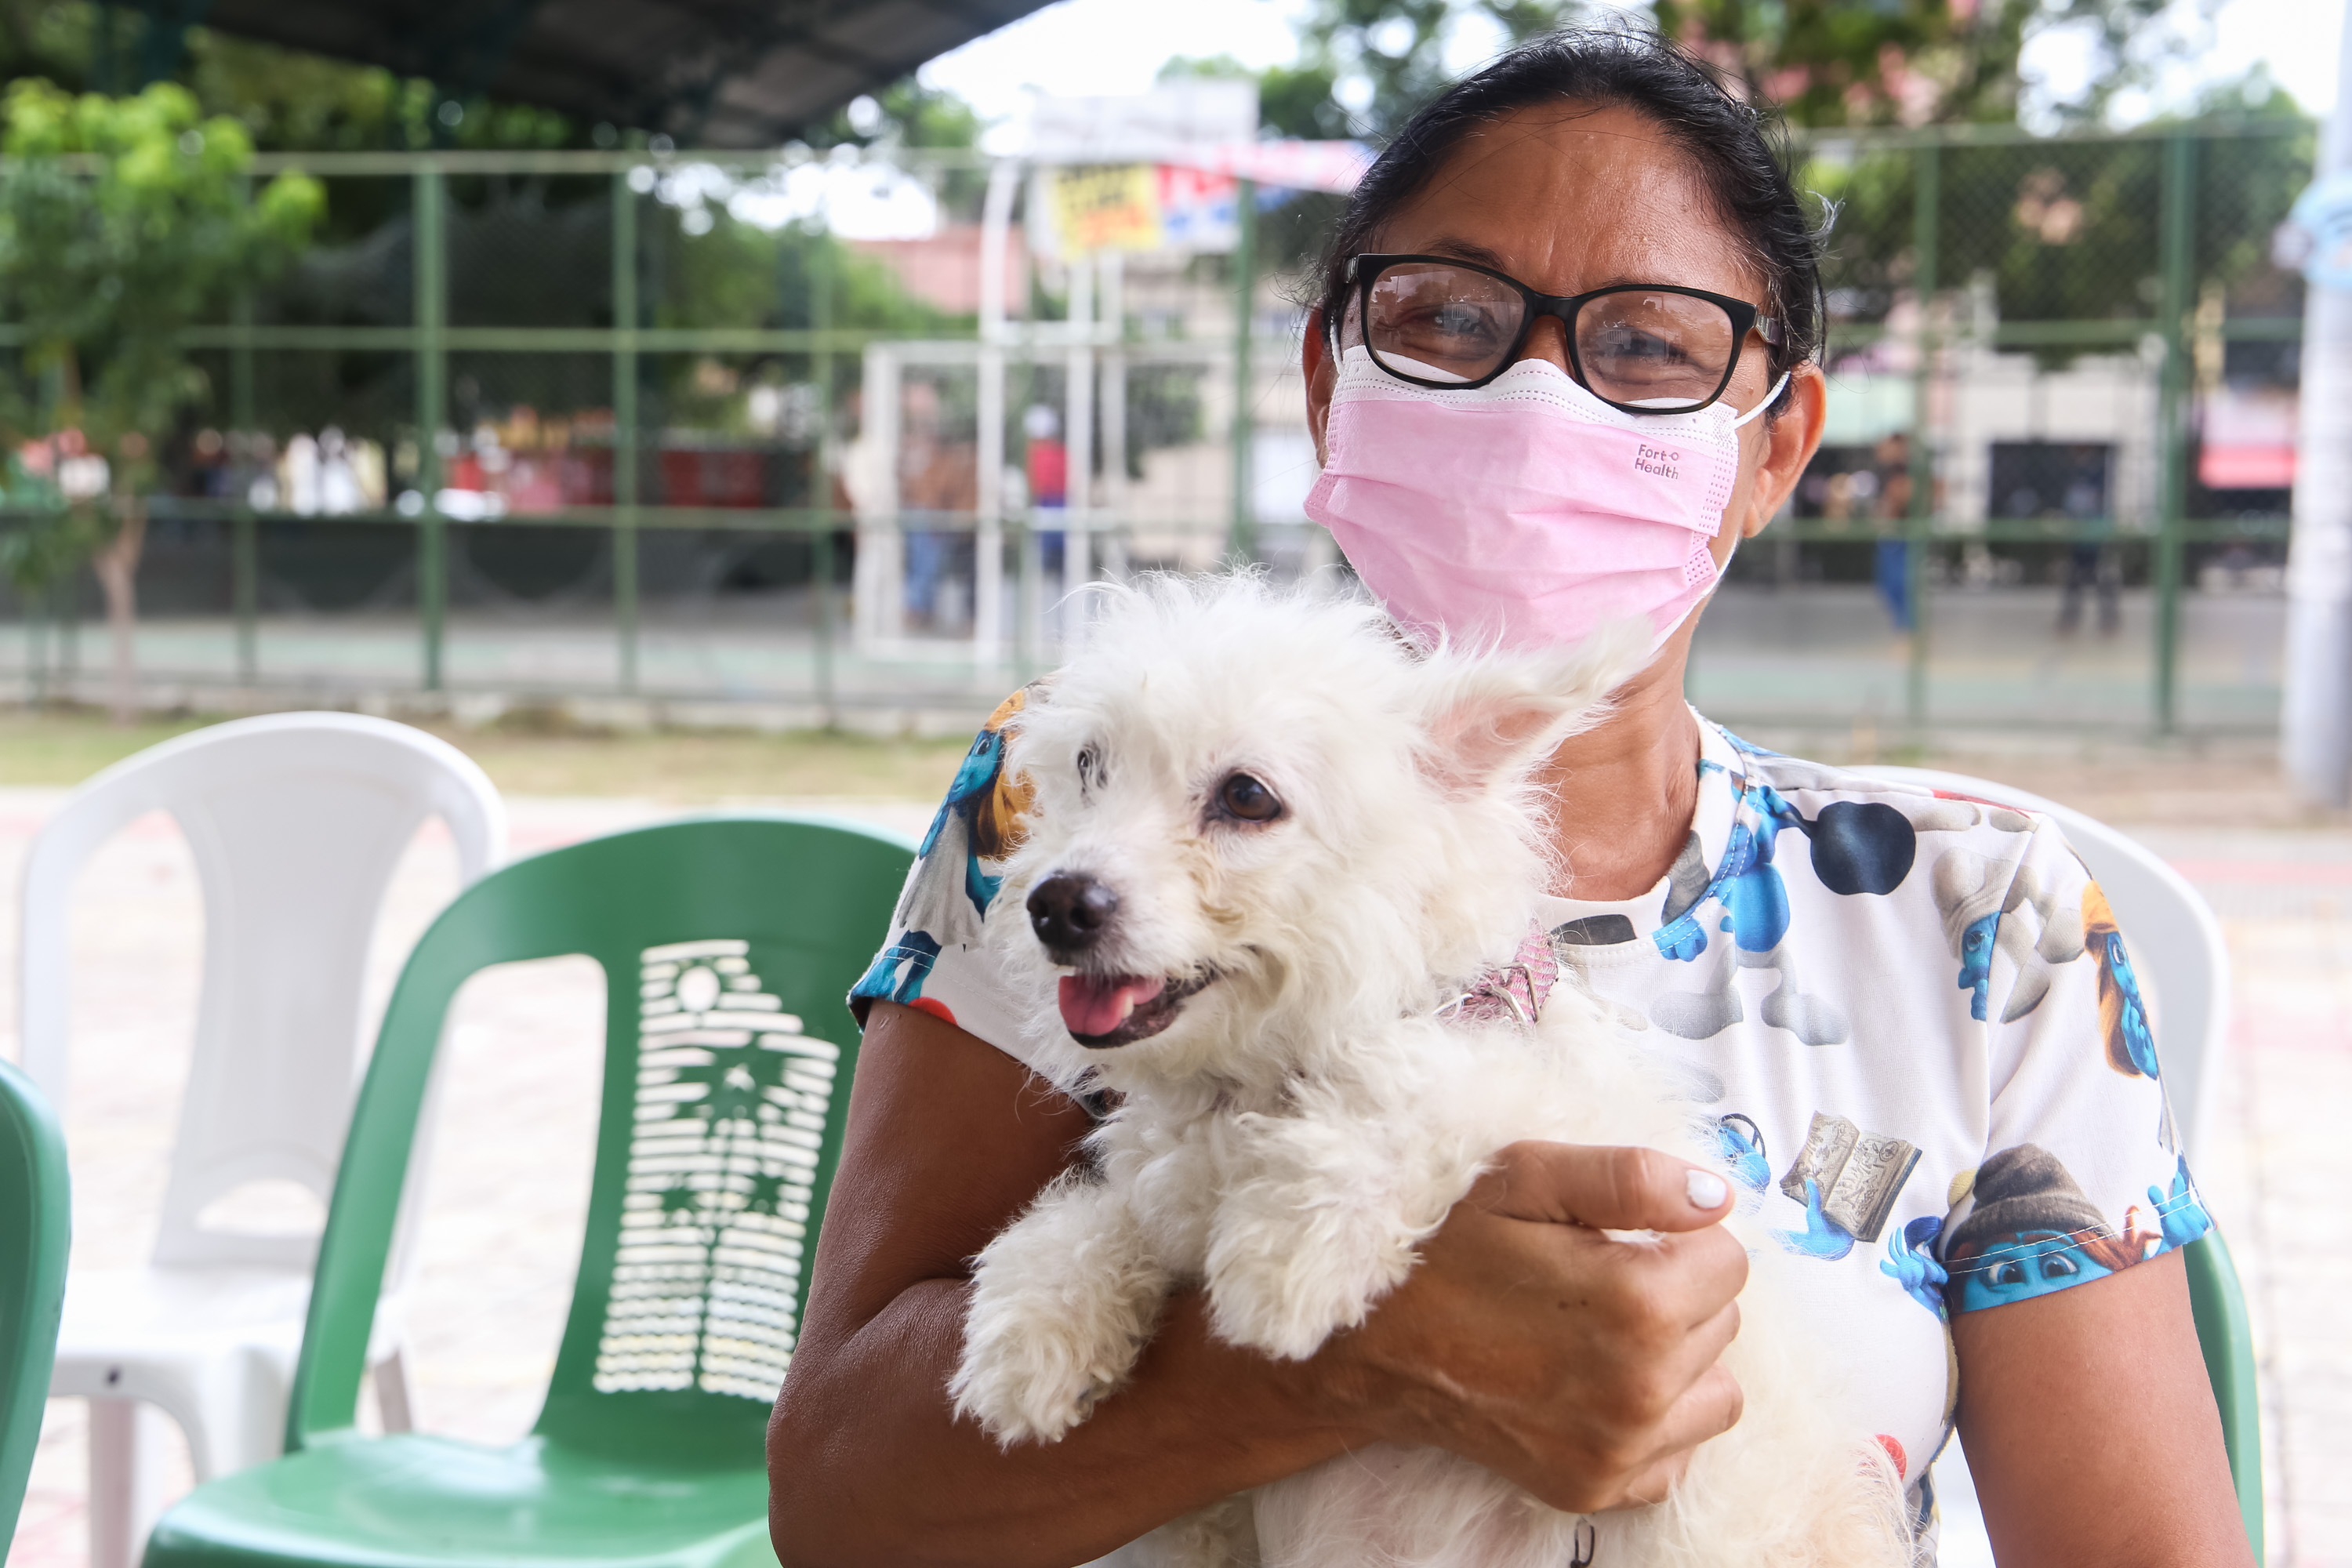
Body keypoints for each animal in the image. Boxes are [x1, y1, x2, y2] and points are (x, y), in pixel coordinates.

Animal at [950, 580, 1910, 1568]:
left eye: (1247, 795)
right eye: (1089, 766)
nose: (1058, 903)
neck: (1263, 1081)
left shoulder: (1589, 1152)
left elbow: (1423, 1085)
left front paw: (1291, 1250)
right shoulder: (1204, 1513)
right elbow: (1108, 1211)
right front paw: (1037, 1325)